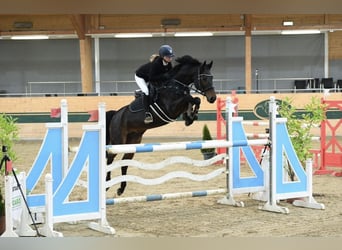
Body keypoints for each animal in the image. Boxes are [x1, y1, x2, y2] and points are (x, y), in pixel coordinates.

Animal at [106, 54, 216, 195]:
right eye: (204, 78)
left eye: (211, 77)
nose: (213, 98)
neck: (175, 86)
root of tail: (115, 115)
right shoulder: (171, 108)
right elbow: (192, 98)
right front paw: (191, 115)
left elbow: (192, 100)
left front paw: (190, 117)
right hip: (118, 142)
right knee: (110, 159)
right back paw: (107, 183)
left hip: (132, 141)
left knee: (124, 162)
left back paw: (121, 188)